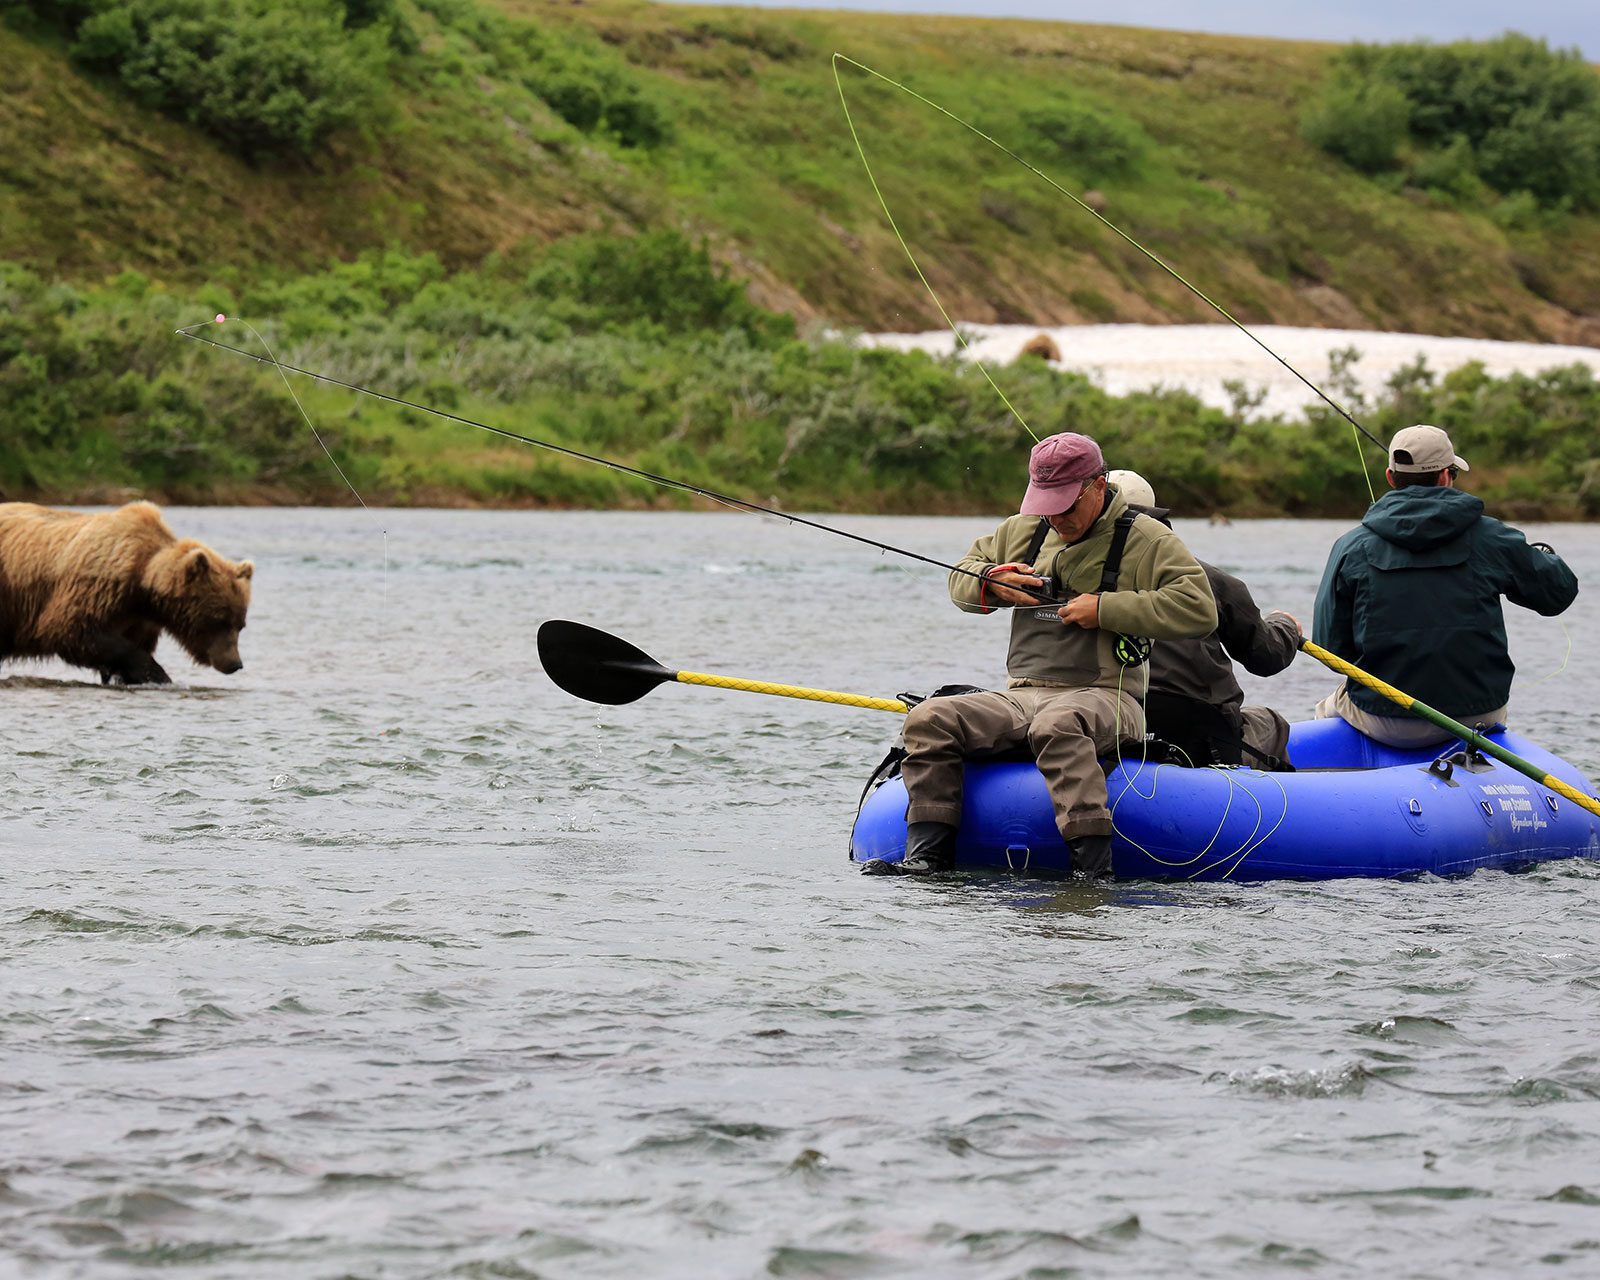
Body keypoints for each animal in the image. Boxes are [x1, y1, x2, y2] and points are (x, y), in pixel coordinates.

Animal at [0, 501, 253, 686]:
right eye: (219, 620)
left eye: (240, 624)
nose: (235, 664)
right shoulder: (97, 588)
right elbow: (71, 629)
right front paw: (156, 675)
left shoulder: (138, 618)